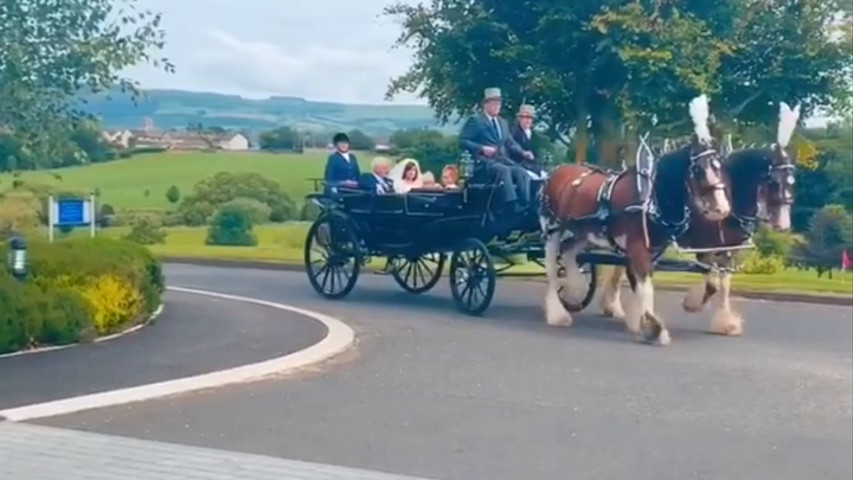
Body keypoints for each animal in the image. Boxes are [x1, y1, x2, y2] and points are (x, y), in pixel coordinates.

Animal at [540, 95, 724, 346]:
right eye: (699, 170)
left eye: (720, 166)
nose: (722, 208)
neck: (650, 196)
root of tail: (556, 172)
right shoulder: (637, 247)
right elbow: (646, 288)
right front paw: (654, 328)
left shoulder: (650, 249)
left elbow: (639, 284)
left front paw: (641, 322)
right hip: (553, 228)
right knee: (551, 267)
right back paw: (557, 314)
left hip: (582, 232)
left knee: (568, 254)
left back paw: (573, 284)